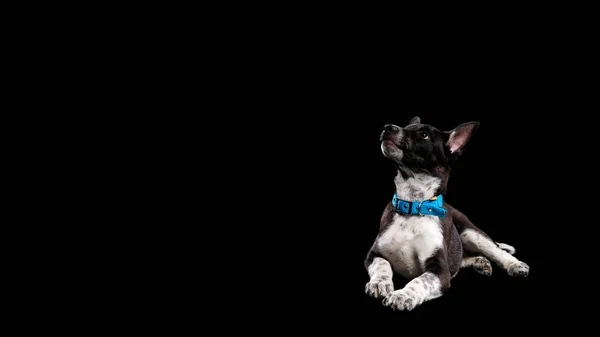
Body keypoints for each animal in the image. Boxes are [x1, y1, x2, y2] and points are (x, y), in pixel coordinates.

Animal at [364, 117, 528, 312]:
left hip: (471, 232)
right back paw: (481, 262)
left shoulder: (440, 272)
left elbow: (419, 281)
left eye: (424, 135)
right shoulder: (373, 254)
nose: (387, 127)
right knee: (462, 259)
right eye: (406, 126)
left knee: (496, 251)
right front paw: (380, 283)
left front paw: (402, 295)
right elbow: (383, 265)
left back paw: (515, 265)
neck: (413, 206)